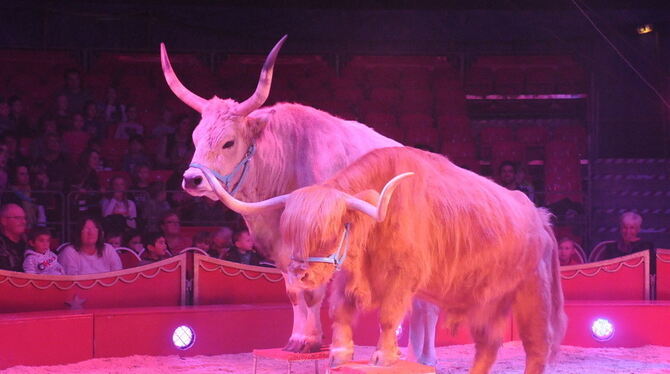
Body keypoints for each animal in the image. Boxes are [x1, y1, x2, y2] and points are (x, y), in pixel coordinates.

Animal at [203, 147, 568, 374]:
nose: (300, 274)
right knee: (488, 345)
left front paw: (383, 355)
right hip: (487, 301)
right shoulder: (346, 277)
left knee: (536, 347)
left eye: (330, 232)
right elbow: (341, 312)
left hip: (532, 294)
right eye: (290, 232)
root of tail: (539, 217)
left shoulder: (403, 278)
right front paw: (339, 353)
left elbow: (389, 317)